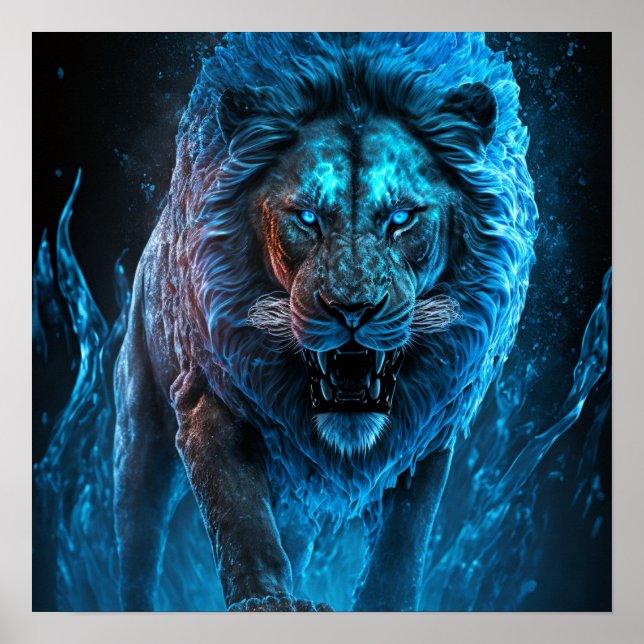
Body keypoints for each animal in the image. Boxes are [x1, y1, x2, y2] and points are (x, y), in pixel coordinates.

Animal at [113, 32, 537, 612]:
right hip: (139, 431)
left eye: (401, 218)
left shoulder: (430, 428)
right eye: (307, 217)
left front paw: (380, 607)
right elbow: (239, 518)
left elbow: (402, 546)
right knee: (136, 537)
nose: (352, 309)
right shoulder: (206, 395)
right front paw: (265, 602)